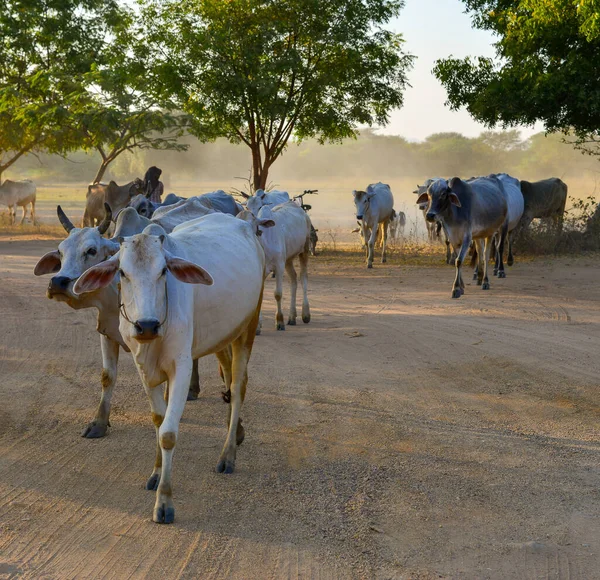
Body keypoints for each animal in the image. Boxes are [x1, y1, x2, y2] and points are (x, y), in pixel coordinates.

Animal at [72, 214, 264, 524]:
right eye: (122, 272)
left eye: (163, 270)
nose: (146, 325)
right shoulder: (143, 369)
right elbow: (158, 420)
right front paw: (156, 473)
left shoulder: (181, 368)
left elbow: (169, 433)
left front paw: (164, 501)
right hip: (222, 334)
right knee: (227, 373)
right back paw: (236, 434)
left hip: (247, 328)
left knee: (237, 388)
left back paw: (228, 453)